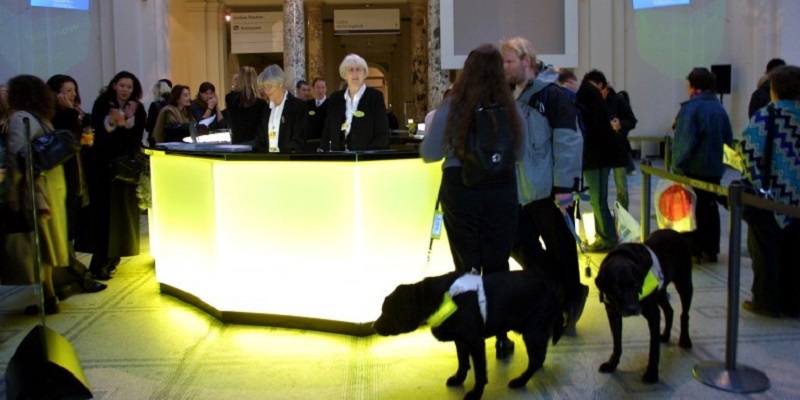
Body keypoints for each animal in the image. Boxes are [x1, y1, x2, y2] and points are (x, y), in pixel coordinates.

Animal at [374, 270, 564, 400]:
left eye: (388, 312)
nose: (374, 326)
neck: (438, 298)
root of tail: (553, 286)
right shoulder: (460, 340)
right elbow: (463, 362)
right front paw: (459, 378)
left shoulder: (475, 342)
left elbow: (479, 373)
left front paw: (475, 393)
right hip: (538, 332)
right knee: (539, 356)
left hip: (532, 332)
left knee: (535, 360)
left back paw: (520, 381)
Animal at [592, 228, 692, 382]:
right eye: (616, 287)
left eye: (636, 285)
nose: (633, 309)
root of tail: (677, 233)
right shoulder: (613, 314)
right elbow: (617, 343)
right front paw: (612, 364)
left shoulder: (653, 314)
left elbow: (653, 348)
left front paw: (651, 373)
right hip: (661, 292)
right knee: (669, 311)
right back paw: (665, 335)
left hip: (684, 284)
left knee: (684, 314)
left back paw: (685, 339)